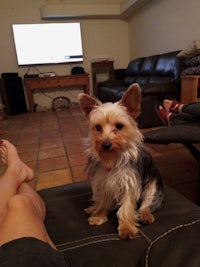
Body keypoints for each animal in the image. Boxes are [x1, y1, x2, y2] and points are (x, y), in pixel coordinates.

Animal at [77, 84, 163, 241]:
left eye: (119, 126)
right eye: (98, 127)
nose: (105, 145)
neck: (113, 158)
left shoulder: (130, 184)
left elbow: (127, 207)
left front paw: (126, 228)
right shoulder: (103, 182)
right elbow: (103, 201)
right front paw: (99, 216)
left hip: (153, 185)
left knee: (146, 203)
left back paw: (146, 215)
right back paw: (93, 208)